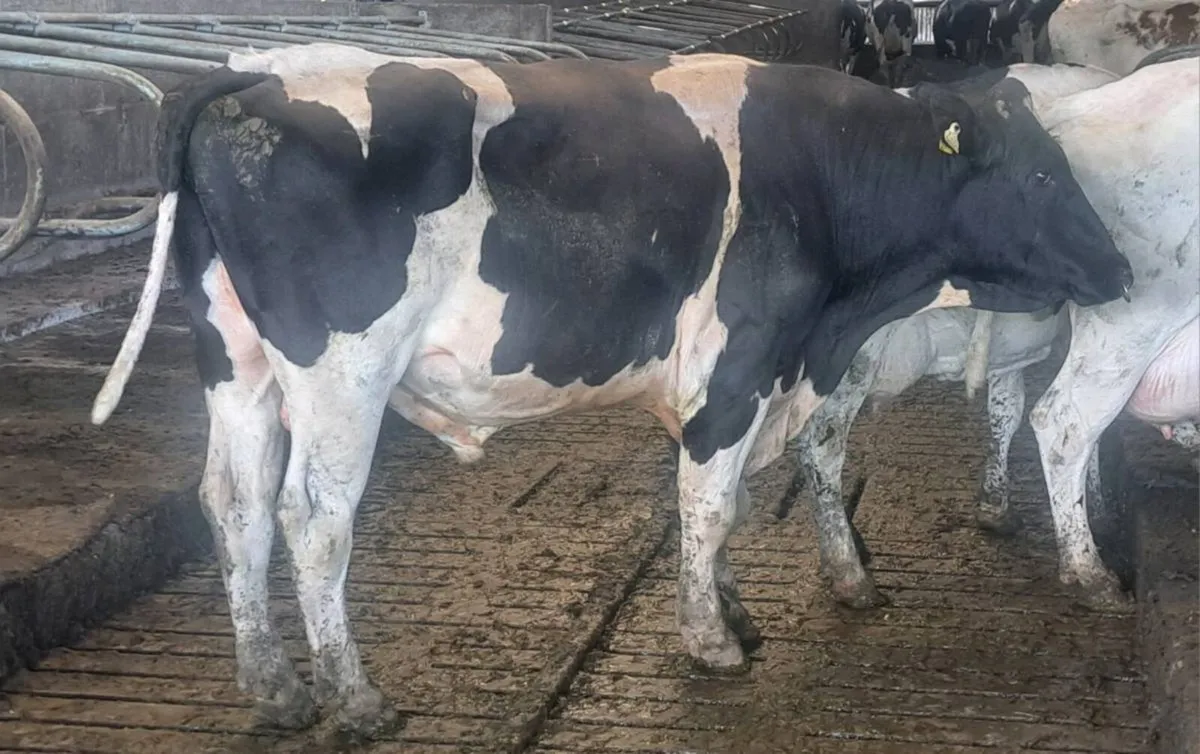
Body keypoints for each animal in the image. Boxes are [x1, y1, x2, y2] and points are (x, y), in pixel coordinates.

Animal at [89, 44, 1133, 738]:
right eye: (1048, 175)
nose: (1121, 270)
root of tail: (258, 74)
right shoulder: (741, 364)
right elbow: (709, 503)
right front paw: (710, 640)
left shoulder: (744, 378)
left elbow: (728, 500)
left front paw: (735, 612)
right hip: (342, 372)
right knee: (313, 518)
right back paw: (354, 698)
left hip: (238, 362)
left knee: (234, 504)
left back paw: (272, 687)